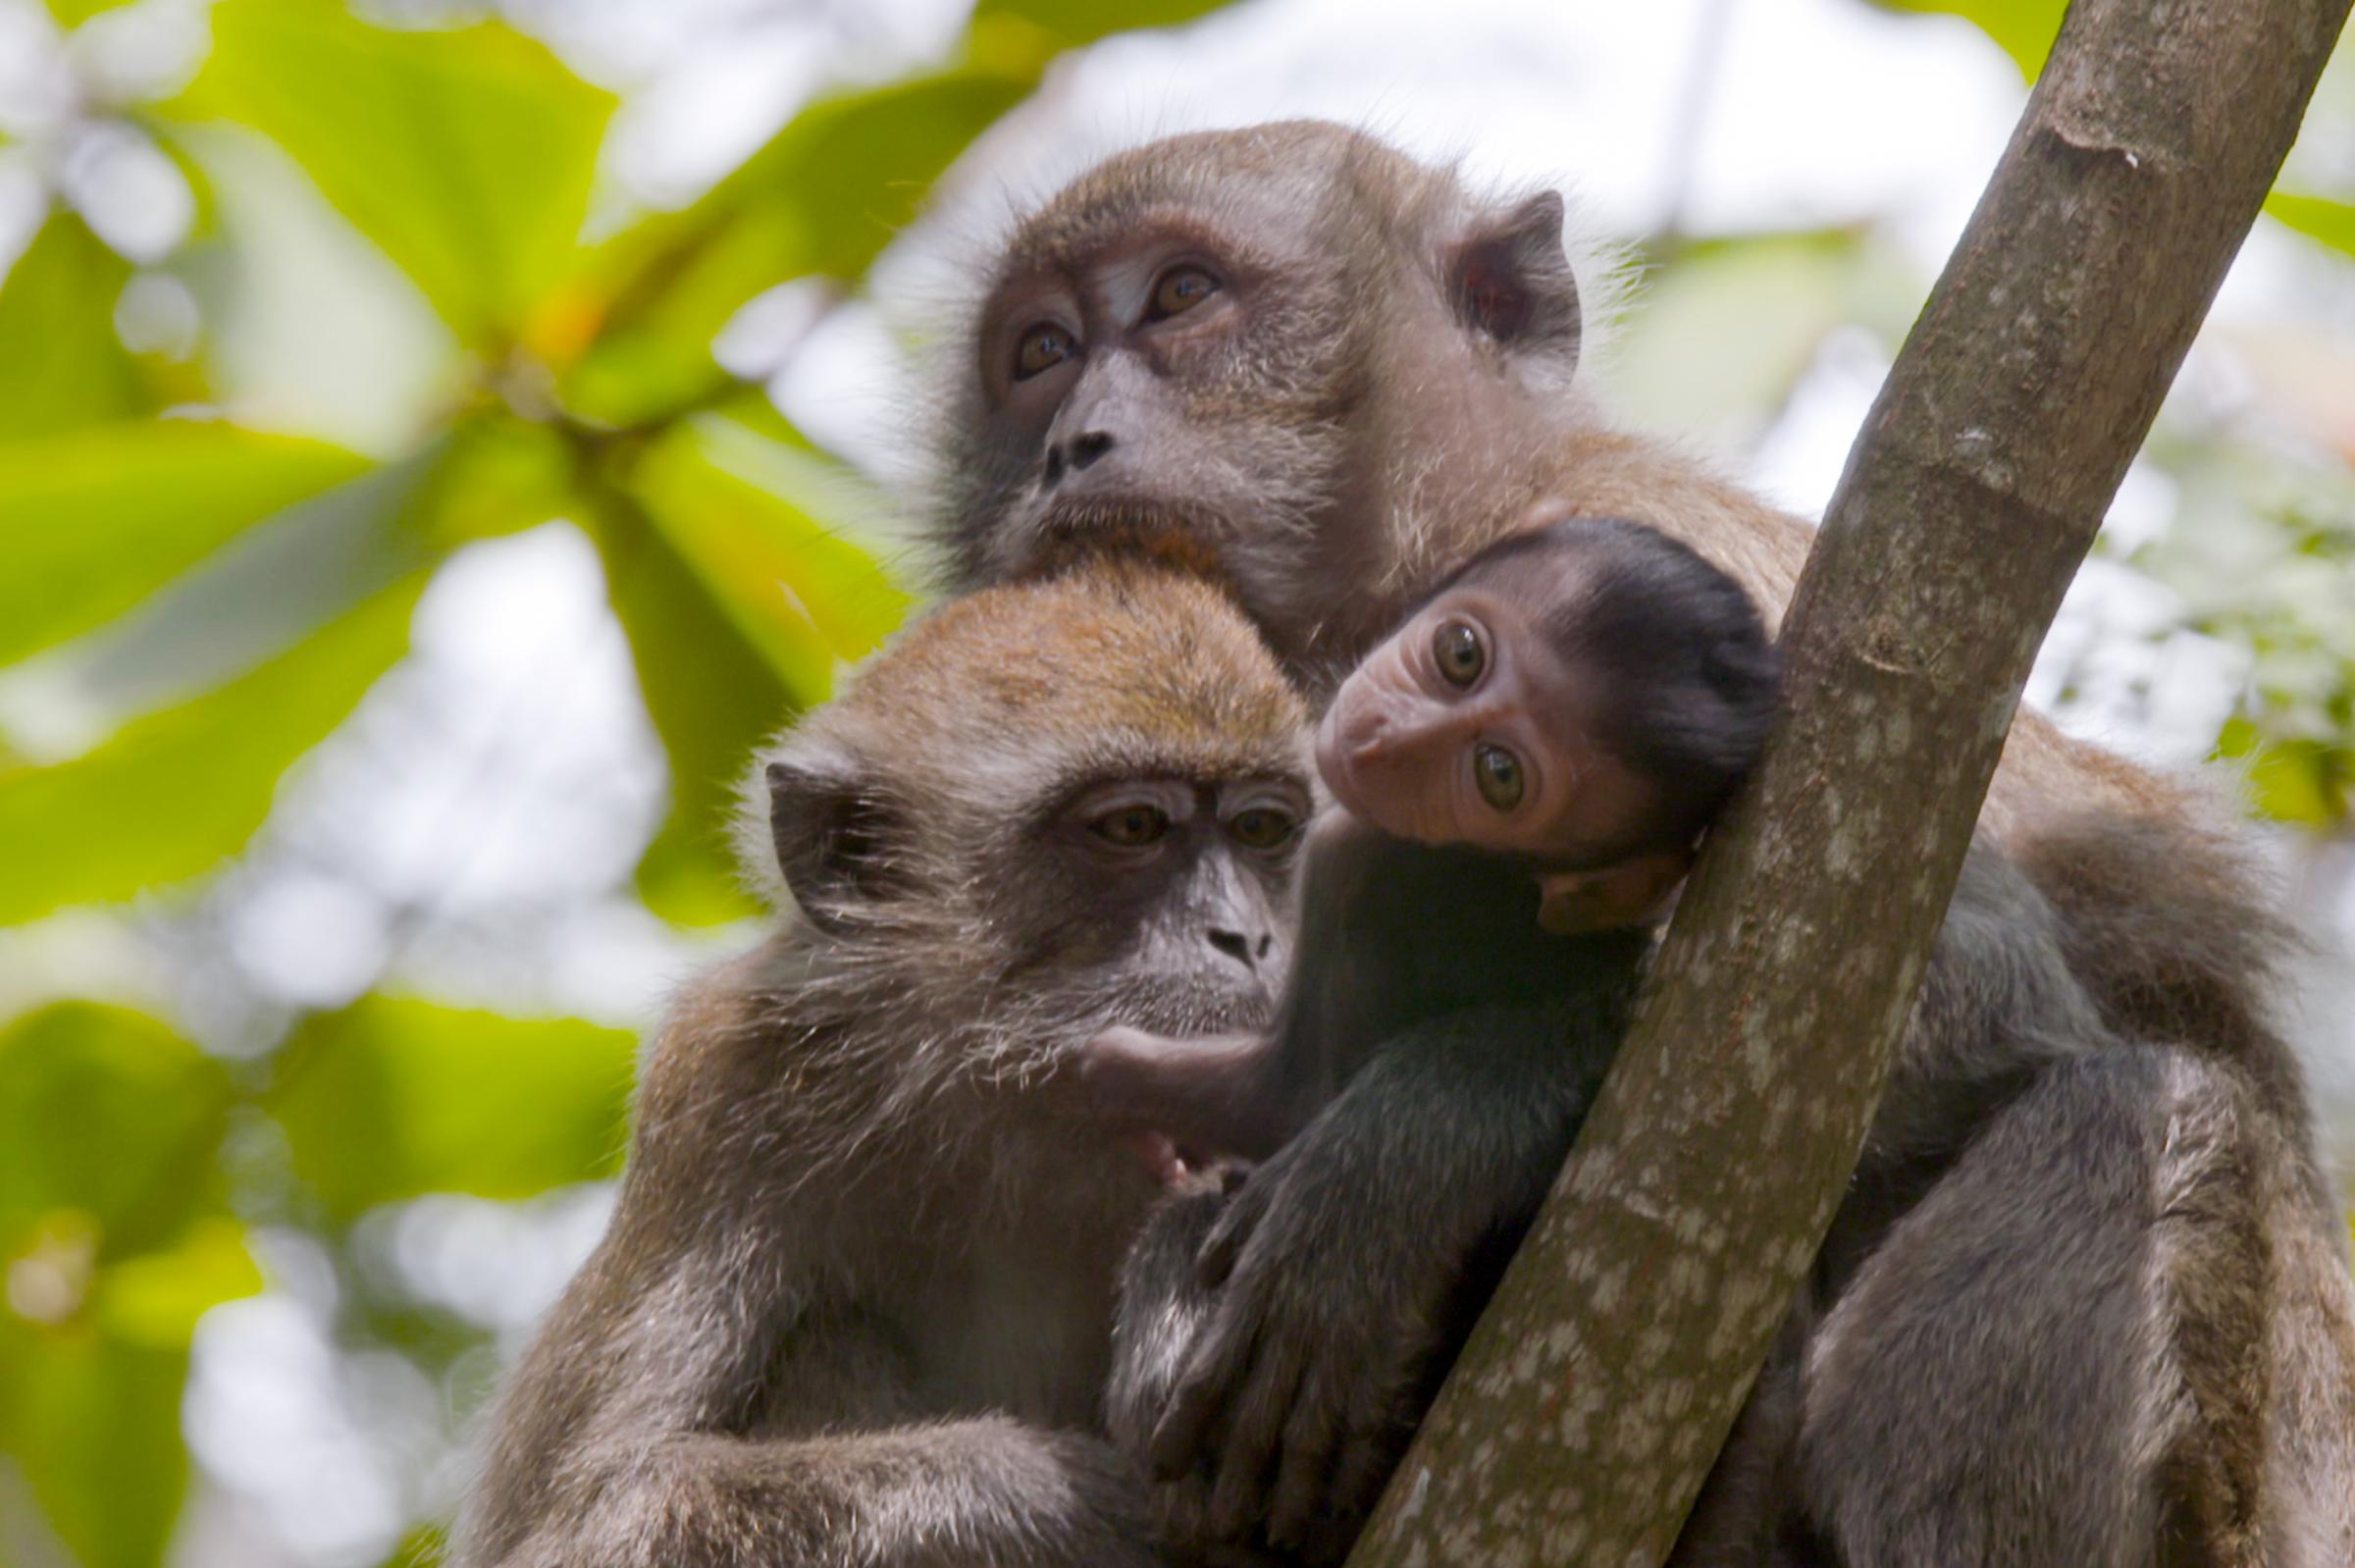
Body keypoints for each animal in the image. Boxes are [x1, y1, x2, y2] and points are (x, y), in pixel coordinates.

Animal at [447, 557, 1319, 1563]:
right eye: (1135, 827)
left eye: (1262, 830)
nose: (1247, 939)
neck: (1015, 1115)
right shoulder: (722, 1087)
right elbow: (597, 1514)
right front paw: (1072, 1493)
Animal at [1092, 510, 1770, 1172]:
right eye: (1461, 653)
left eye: (1500, 775)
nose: (1387, 738)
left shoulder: (1352, 857)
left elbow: (1285, 1104)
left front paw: (1106, 1080)